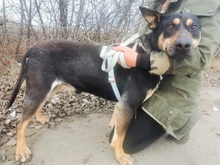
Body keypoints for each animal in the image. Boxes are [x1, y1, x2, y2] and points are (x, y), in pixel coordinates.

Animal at [6, 6, 201, 165]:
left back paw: (39, 118)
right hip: (39, 89)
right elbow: (121, 136)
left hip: (51, 87)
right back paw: (21, 151)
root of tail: (33, 48)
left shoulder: (122, 105)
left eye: (194, 28)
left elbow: (116, 129)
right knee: (20, 123)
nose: (183, 45)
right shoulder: (128, 106)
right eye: (169, 27)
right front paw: (121, 156)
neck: (147, 56)